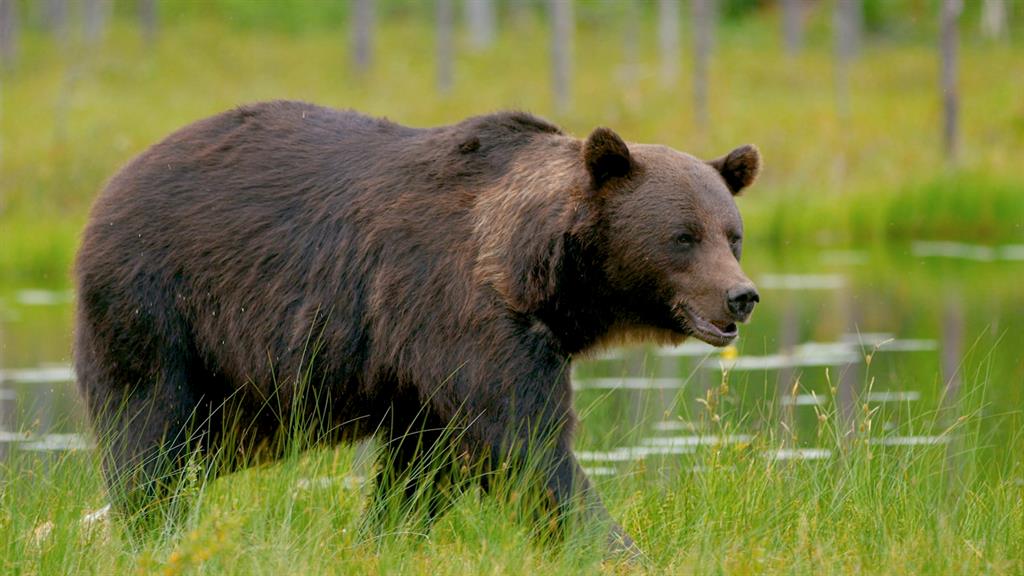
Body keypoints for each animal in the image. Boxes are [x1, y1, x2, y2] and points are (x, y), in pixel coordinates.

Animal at [74, 101, 761, 553]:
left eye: (732, 234)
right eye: (682, 236)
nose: (741, 296)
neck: (539, 278)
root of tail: (113, 184)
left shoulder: (420, 366)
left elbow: (424, 466)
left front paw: (384, 536)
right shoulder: (461, 312)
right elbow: (524, 444)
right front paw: (612, 546)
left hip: (234, 389)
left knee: (198, 450)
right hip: (162, 306)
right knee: (150, 433)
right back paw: (147, 529)